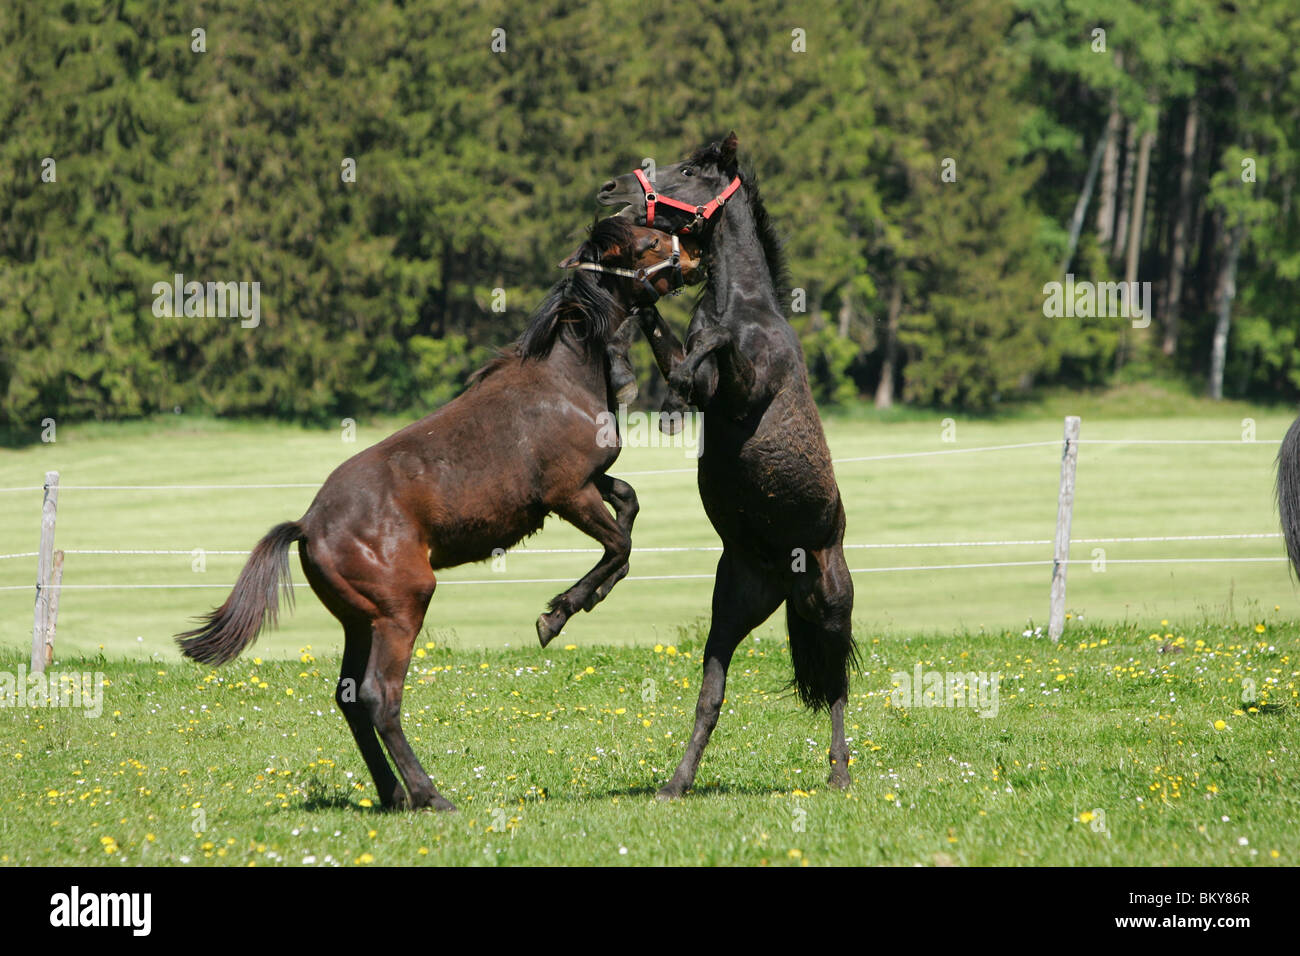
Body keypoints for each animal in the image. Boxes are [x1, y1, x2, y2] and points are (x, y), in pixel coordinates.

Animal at [176, 221, 702, 811]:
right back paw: (430, 796)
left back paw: (393, 795)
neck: (560, 379)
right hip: (401, 610)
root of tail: (308, 525)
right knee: (379, 697)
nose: (696, 256)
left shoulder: (590, 484)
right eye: (649, 242)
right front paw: (557, 613)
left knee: (350, 697)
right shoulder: (569, 494)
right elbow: (619, 544)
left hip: (360, 621)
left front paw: (589, 597)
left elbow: (628, 506)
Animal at [600, 130, 863, 796]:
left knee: (838, 686)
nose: (611, 190)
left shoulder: (746, 389)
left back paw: (839, 775)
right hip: (732, 608)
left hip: (833, 602)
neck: (742, 308)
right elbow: (672, 345)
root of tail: (787, 575)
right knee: (712, 695)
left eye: (691, 170)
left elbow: (711, 350)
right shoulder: (700, 377)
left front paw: (671, 407)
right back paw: (675, 783)